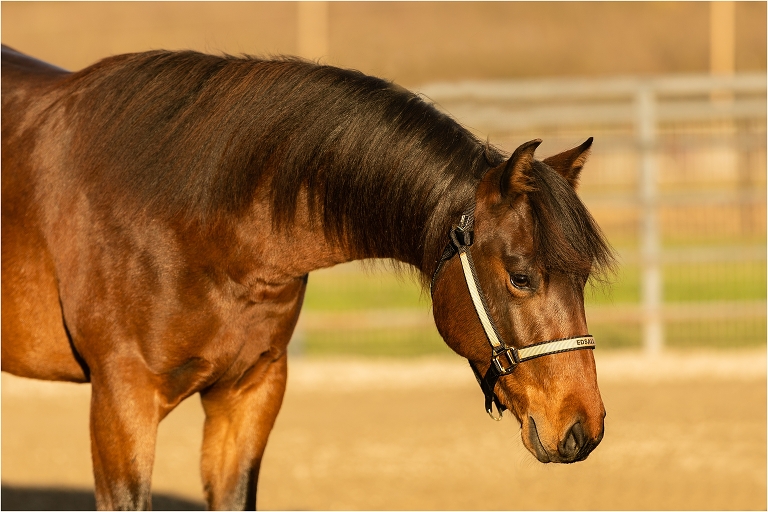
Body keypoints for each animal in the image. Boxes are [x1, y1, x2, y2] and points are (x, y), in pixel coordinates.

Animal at [1, 45, 615, 510]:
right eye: (521, 277)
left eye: (583, 277)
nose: (582, 429)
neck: (183, 214)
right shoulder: (121, 400)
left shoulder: (249, 393)